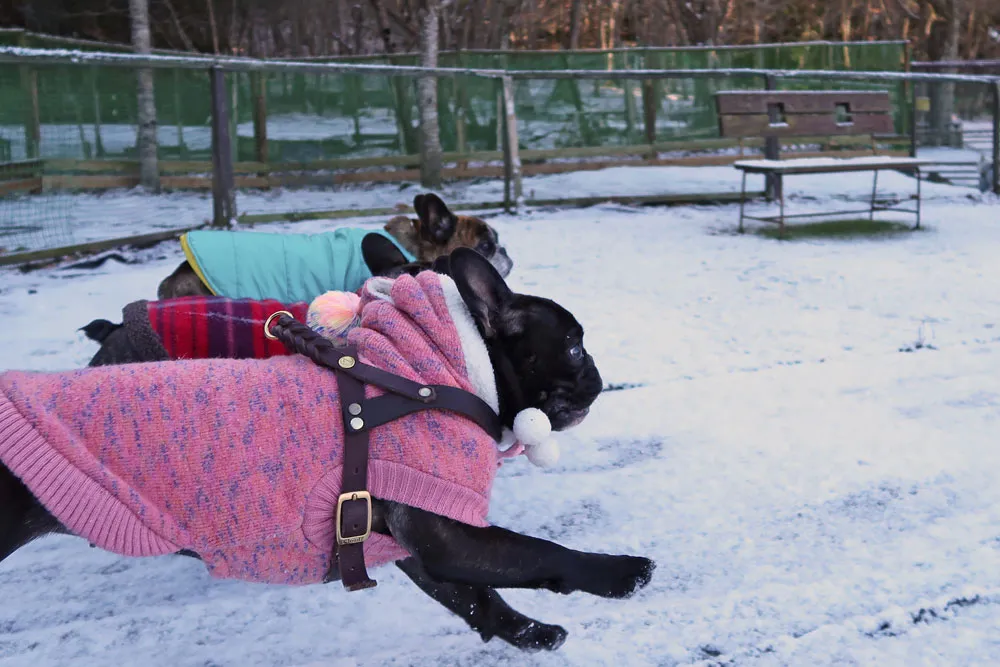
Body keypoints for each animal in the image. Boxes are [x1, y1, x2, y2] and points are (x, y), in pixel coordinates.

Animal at [0, 249, 656, 652]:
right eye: (573, 348)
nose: (596, 373)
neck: (431, 377)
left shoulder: (412, 540)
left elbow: (476, 598)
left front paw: (528, 635)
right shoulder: (450, 534)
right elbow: (539, 553)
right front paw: (620, 572)